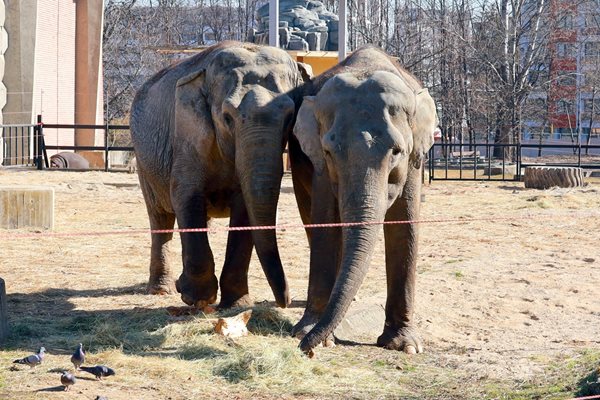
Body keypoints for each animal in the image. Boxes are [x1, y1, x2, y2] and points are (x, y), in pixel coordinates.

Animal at [129, 41, 308, 310]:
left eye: (290, 117)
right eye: (227, 117)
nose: (285, 302)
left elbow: (244, 209)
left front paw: (236, 304)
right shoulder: (188, 135)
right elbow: (186, 196)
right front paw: (197, 299)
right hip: (144, 162)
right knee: (160, 217)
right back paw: (161, 290)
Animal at [288, 45, 438, 354]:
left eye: (397, 151)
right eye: (329, 151)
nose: (304, 349)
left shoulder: (415, 161)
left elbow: (405, 225)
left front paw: (405, 345)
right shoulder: (320, 164)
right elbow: (324, 224)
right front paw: (307, 333)